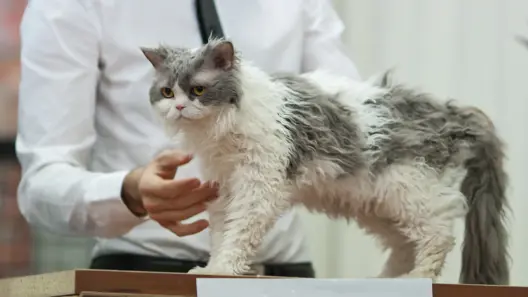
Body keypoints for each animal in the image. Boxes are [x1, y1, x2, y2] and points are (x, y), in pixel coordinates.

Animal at [142, 38, 510, 284]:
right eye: (167, 92)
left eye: (198, 91)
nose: (178, 107)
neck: (223, 129)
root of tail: (453, 112)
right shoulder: (224, 189)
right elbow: (221, 234)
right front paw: (211, 267)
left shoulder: (258, 186)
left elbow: (238, 233)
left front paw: (224, 270)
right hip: (381, 205)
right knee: (405, 245)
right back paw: (385, 280)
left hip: (411, 189)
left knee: (438, 235)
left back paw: (416, 278)